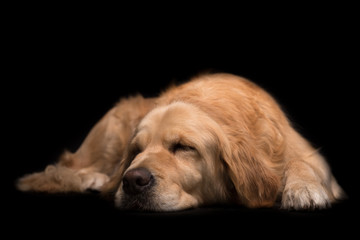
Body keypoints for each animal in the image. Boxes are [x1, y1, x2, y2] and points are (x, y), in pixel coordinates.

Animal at [16, 72, 344, 210]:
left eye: (185, 148)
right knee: (66, 169)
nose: (131, 180)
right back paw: (94, 179)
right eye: (136, 151)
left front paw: (303, 188)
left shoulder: (306, 153)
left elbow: (302, 162)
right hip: (111, 127)